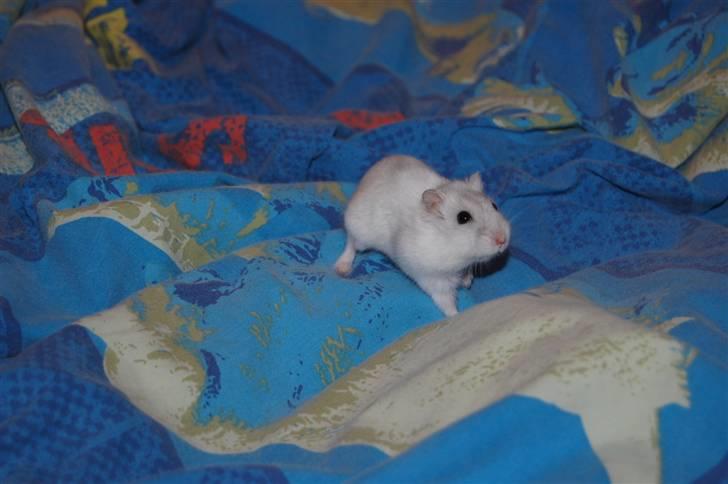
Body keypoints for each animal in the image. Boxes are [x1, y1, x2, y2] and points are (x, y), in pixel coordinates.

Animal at [335, 155, 510, 316]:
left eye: (494, 205)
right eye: (463, 218)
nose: (502, 240)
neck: (454, 248)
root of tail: (364, 180)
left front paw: (467, 282)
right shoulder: (433, 279)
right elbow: (446, 302)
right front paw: (457, 315)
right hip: (360, 233)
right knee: (350, 243)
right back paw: (342, 269)